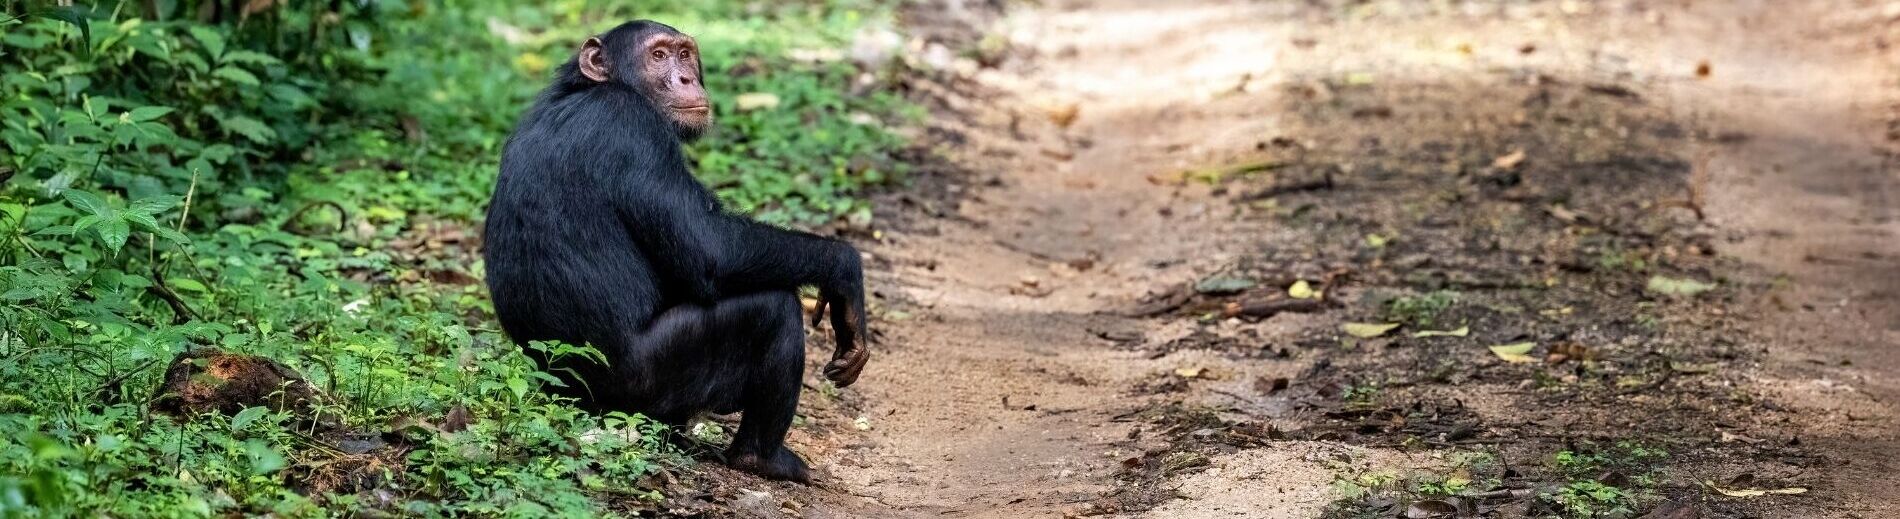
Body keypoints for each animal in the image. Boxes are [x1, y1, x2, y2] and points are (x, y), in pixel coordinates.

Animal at [478, 20, 870, 480]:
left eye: (684, 55)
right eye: (658, 56)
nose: (685, 78)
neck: (598, 89)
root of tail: (568, 398)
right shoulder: (633, 129)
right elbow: (711, 249)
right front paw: (845, 273)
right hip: (647, 387)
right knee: (770, 309)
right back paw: (762, 457)